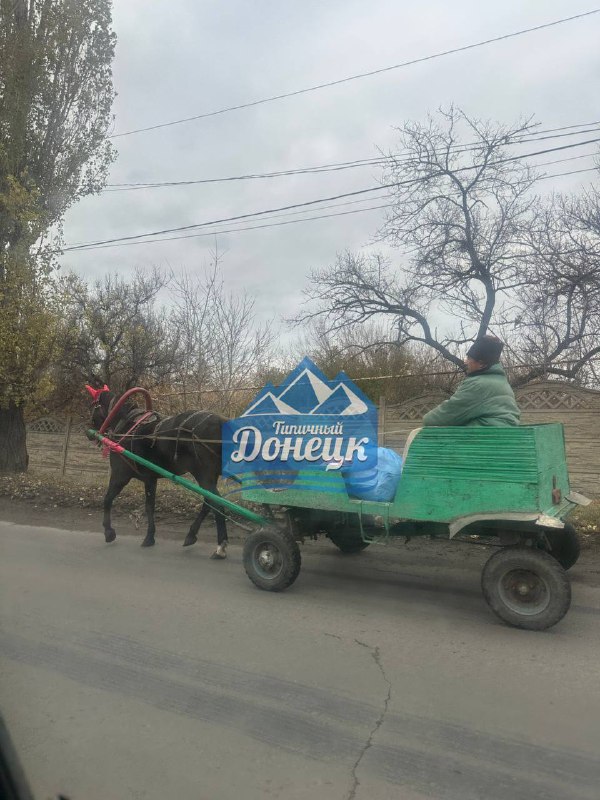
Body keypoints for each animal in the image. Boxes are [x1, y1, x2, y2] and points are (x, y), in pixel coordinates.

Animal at [86, 386, 230, 556]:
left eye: (93, 405)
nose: (89, 430)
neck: (126, 427)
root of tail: (221, 422)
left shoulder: (120, 476)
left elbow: (109, 499)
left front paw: (110, 532)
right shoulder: (151, 479)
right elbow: (150, 506)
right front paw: (150, 536)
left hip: (204, 475)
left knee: (217, 504)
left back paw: (220, 545)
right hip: (209, 476)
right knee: (209, 502)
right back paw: (191, 535)